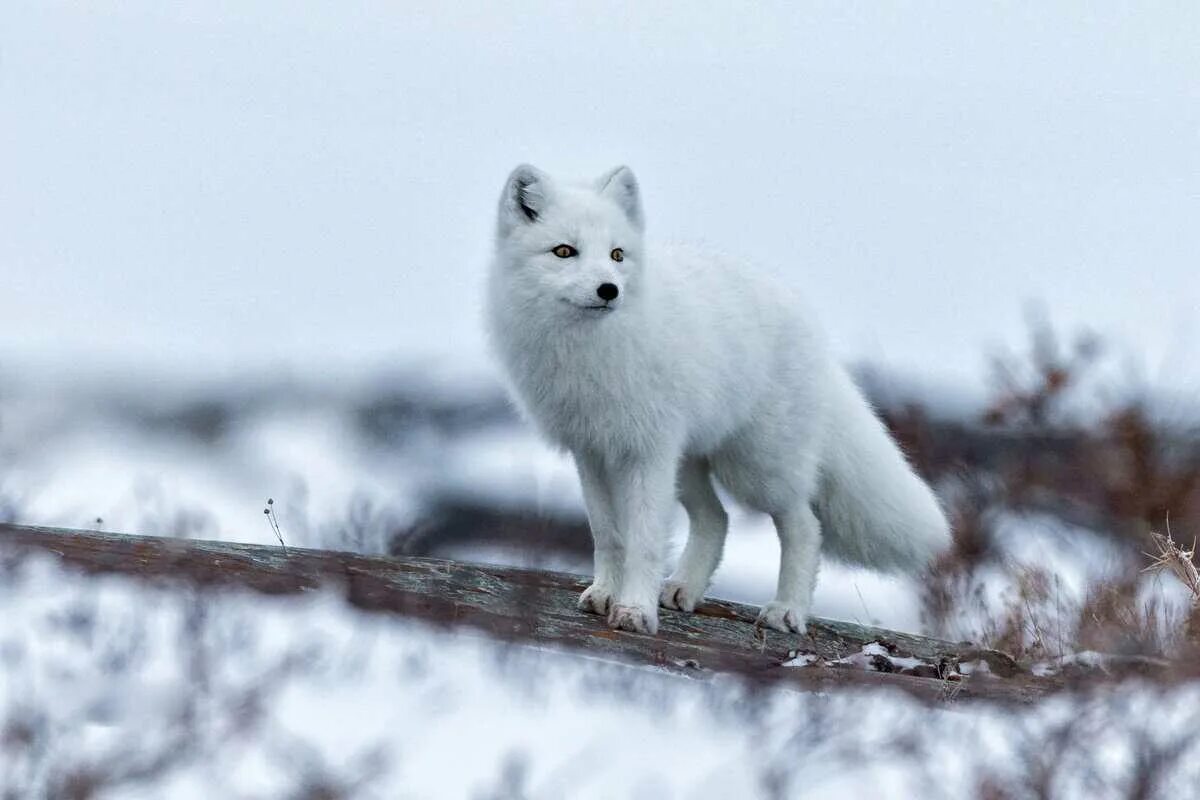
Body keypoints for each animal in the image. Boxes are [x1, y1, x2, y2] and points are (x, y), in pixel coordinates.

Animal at [482, 165, 950, 633]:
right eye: (564, 251)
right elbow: (608, 534)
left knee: (804, 525)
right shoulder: (591, 450)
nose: (609, 289)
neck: (589, 350)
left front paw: (634, 611)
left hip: (756, 469)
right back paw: (683, 589)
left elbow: (645, 541)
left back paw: (787, 610)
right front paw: (605, 595)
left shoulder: (648, 450)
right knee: (717, 518)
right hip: (691, 461)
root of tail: (812, 328)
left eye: (617, 255)